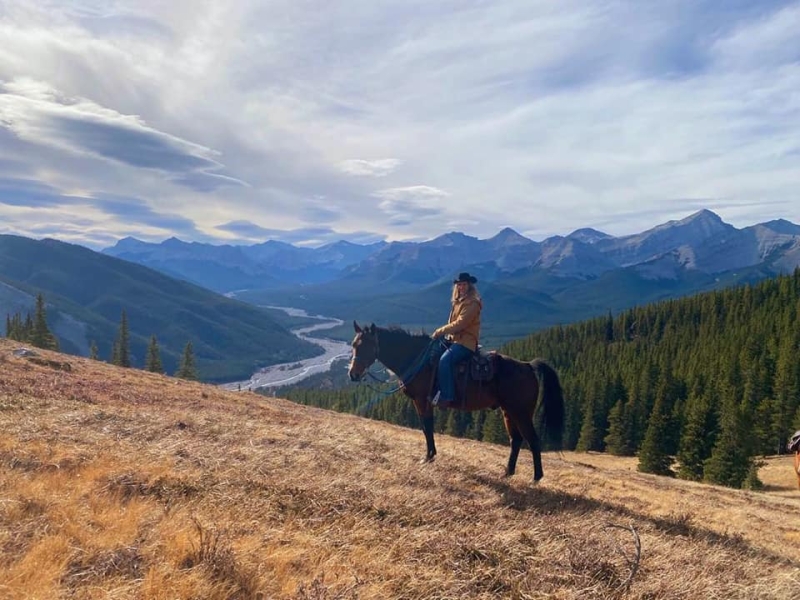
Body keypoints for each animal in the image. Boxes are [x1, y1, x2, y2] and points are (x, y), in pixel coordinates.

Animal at [346, 322, 564, 480]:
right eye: (354, 345)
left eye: (366, 346)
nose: (353, 374)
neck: (418, 359)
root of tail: (528, 366)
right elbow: (427, 428)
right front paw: (430, 455)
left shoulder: (421, 400)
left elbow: (427, 427)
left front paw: (428, 457)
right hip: (508, 411)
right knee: (516, 440)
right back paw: (507, 472)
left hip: (521, 412)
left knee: (533, 440)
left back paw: (536, 478)